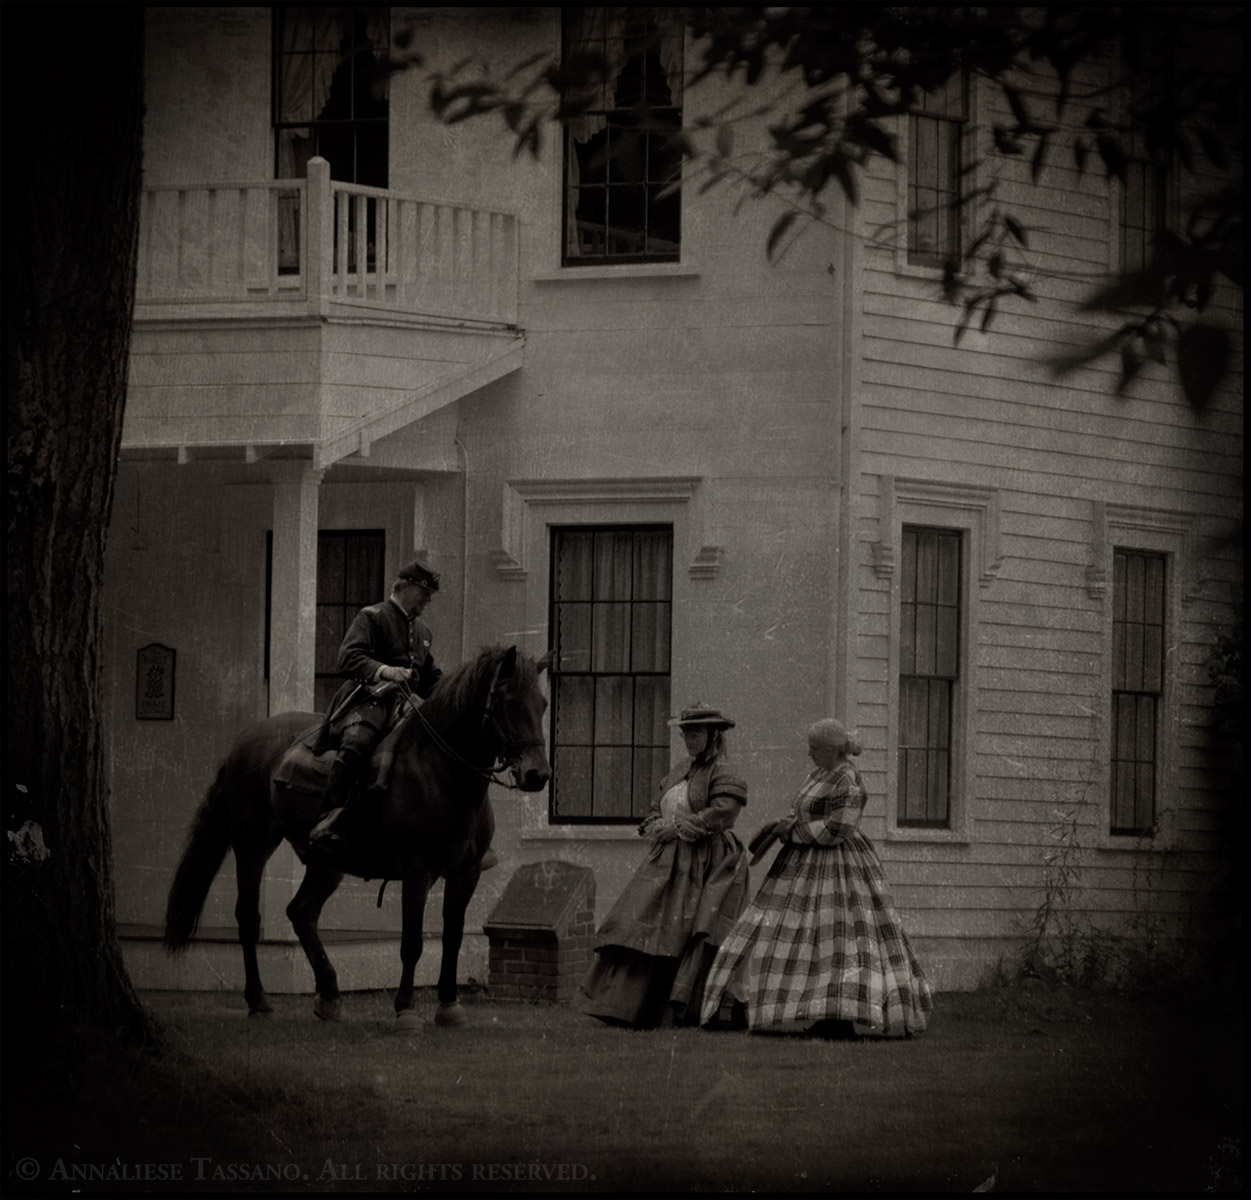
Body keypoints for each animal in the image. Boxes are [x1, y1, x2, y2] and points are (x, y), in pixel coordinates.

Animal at [162, 645, 552, 1031]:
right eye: (507, 701)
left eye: (543, 703)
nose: (538, 774)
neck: (440, 773)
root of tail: (244, 740)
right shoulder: (417, 873)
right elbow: (412, 942)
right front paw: (406, 1009)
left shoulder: (465, 874)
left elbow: (452, 938)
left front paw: (448, 1005)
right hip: (252, 843)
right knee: (248, 917)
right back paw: (259, 1001)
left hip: (326, 863)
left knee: (301, 913)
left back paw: (329, 995)